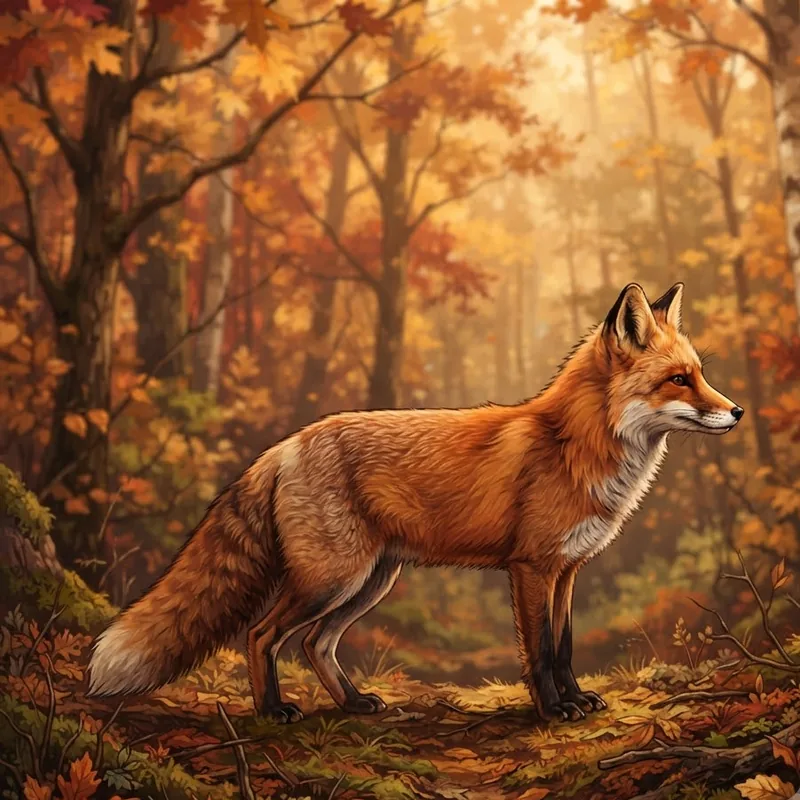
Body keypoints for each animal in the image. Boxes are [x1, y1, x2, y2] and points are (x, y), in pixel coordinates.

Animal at [87, 282, 743, 722]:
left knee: (314, 643)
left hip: (372, 581)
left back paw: (354, 703)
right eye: (679, 380)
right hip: (331, 579)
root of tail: (285, 446)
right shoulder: (530, 568)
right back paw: (272, 712)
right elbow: (538, 653)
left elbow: (565, 647)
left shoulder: (568, 571)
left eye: (699, 374)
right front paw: (552, 711)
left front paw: (578, 699)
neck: (573, 445)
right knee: (261, 634)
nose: (736, 412)